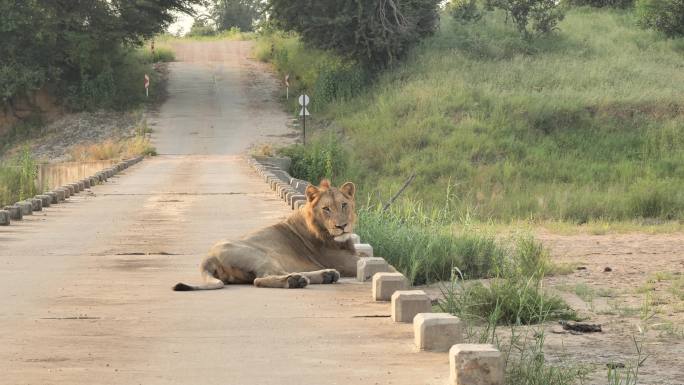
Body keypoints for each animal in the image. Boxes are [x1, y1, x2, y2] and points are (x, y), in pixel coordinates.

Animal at [172, 178, 358, 290]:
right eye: (326, 209)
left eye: (343, 205)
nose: (342, 226)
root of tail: (208, 257)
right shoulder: (345, 262)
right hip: (262, 256)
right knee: (260, 279)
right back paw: (295, 281)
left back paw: (326, 275)